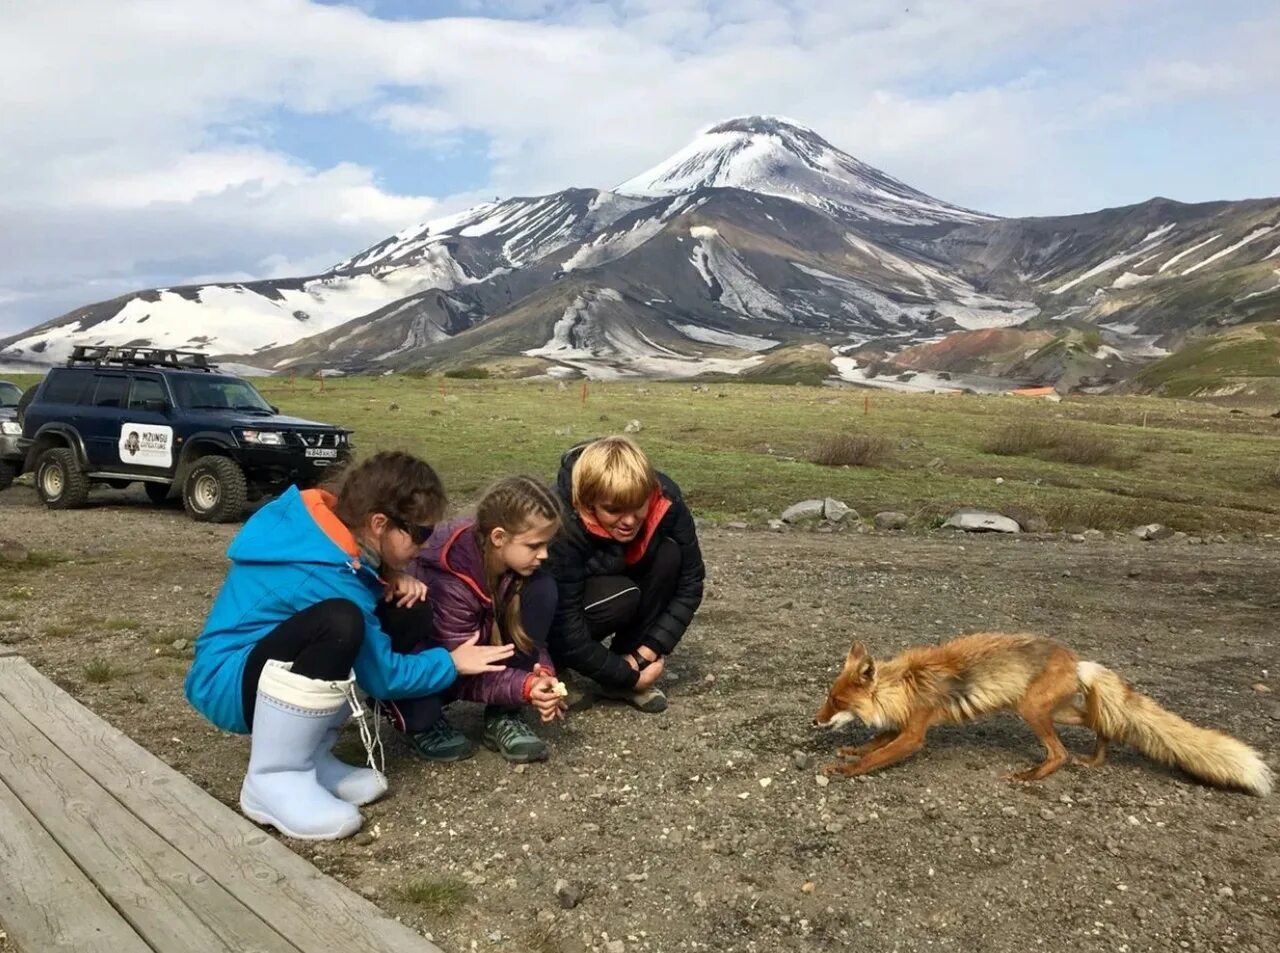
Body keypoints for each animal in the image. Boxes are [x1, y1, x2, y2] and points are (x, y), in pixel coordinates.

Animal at [814, 631, 1274, 793]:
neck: (904, 685)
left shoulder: (915, 732)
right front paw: (850, 752)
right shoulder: (903, 723)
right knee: (1102, 721)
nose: (814, 720)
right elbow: (873, 741)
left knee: (1060, 753)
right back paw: (1097, 755)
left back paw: (1032, 775)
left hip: (1032, 711)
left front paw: (847, 770)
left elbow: (878, 753)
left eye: (836, 702)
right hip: (1055, 711)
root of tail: (1077, 659)